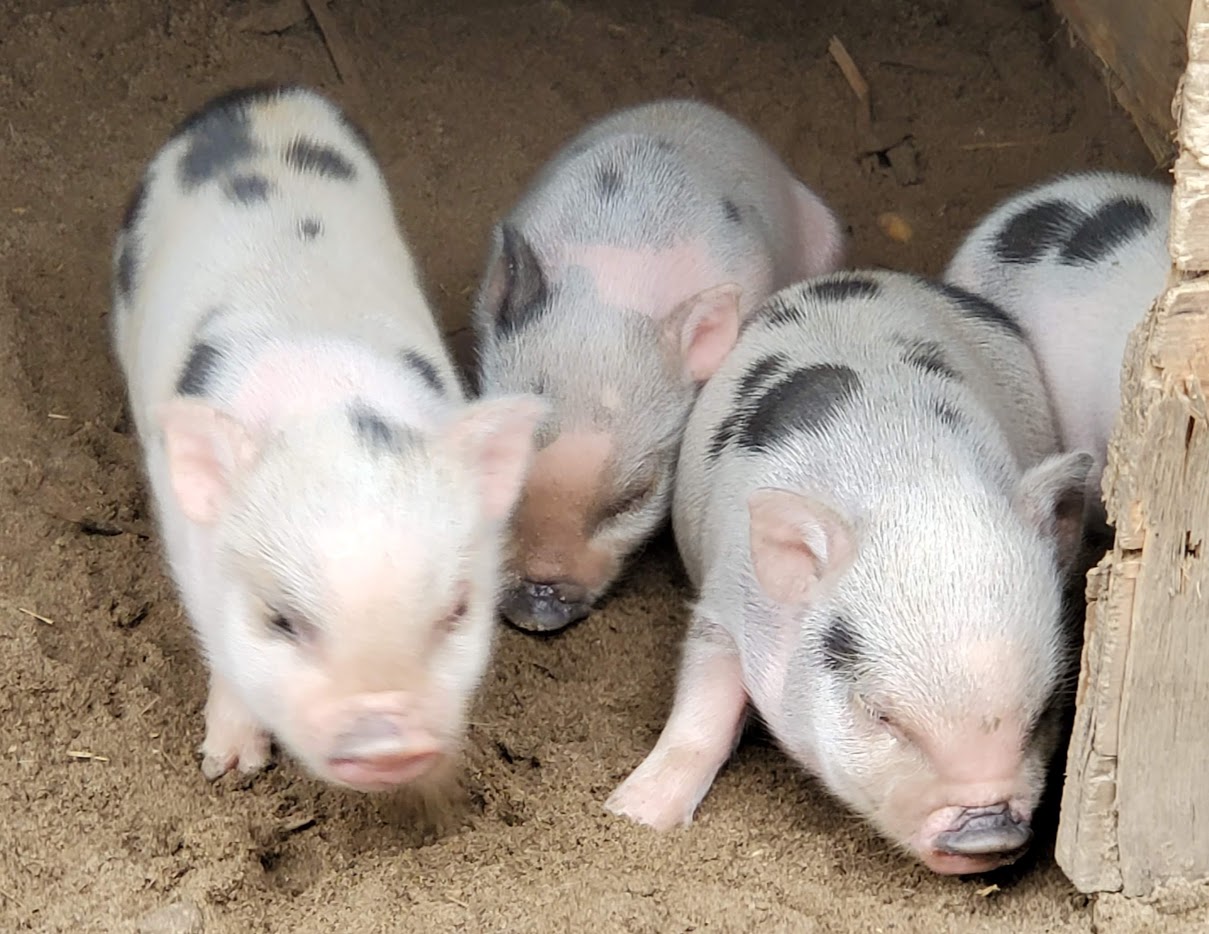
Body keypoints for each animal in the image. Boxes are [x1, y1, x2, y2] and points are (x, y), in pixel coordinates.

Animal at [110, 84, 545, 792]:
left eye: (455, 613)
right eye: (281, 620)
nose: (388, 744)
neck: (326, 392)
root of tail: (260, 96)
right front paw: (229, 770)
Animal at [604, 269, 1094, 876]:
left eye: (1046, 711)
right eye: (880, 714)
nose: (987, 833)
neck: (911, 480)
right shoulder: (724, 603)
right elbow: (701, 712)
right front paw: (629, 814)